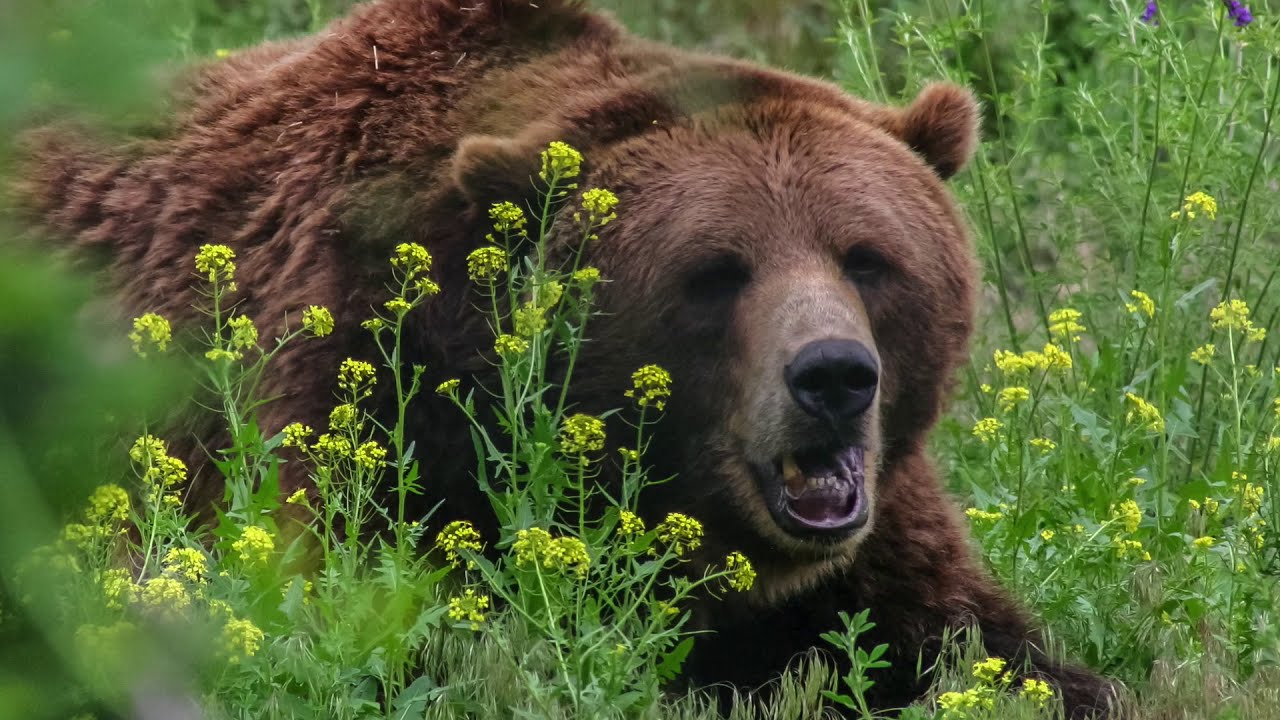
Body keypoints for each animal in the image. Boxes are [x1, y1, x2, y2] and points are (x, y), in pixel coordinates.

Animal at [12, 0, 1118, 716]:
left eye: (868, 257)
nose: (834, 377)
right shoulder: (365, 424)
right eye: (716, 272)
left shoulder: (876, 537)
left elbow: (979, 643)